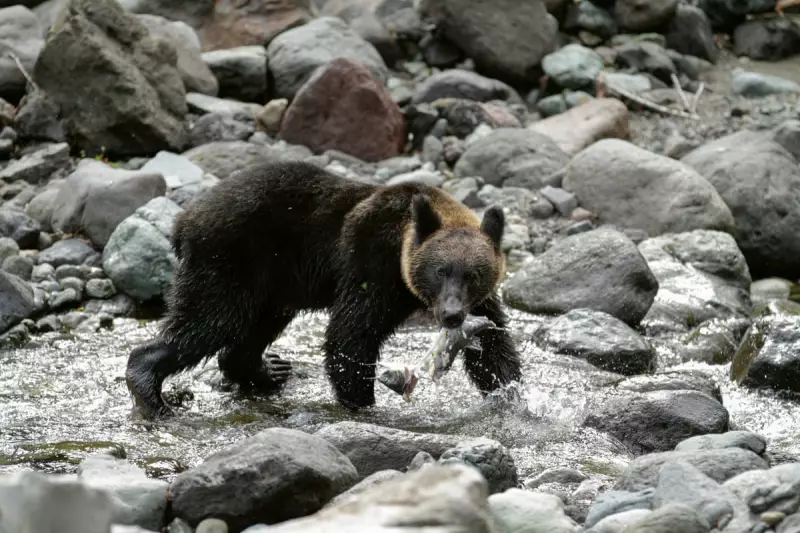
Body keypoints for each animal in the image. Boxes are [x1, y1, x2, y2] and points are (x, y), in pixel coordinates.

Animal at [125, 159, 522, 418]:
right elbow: (351, 334)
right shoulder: (371, 263)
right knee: (208, 322)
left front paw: (511, 395)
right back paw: (151, 392)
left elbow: (494, 347)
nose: (452, 314)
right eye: (440, 271)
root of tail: (183, 220)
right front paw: (363, 403)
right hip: (230, 260)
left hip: (273, 284)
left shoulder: (480, 303)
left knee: (250, 330)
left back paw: (269, 370)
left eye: (474, 274)